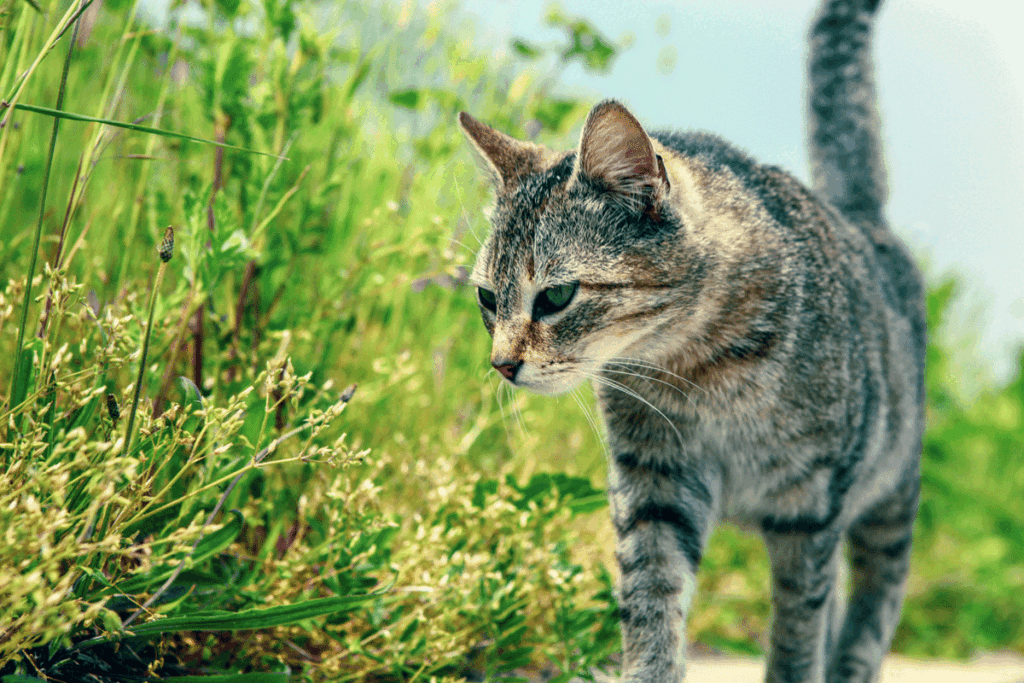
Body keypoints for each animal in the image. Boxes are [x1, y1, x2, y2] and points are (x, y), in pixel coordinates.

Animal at [460, 0, 925, 679]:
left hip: (890, 500)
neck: (697, 367)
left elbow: (798, 630)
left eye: (556, 296)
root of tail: (862, 218)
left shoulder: (809, 507)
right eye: (487, 300)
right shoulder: (654, 484)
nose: (501, 364)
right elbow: (652, 601)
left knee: (871, 605)